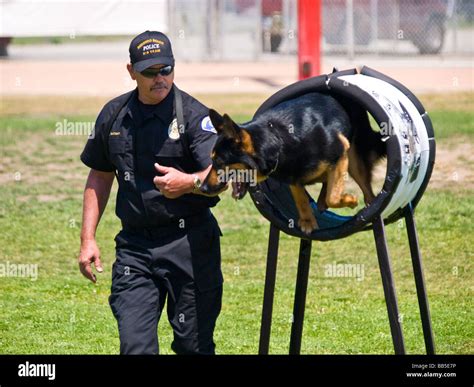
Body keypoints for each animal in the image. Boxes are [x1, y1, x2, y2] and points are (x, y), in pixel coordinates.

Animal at [200, 92, 386, 235]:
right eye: (212, 160)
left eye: (219, 161)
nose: (203, 188)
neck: (277, 143)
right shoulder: (293, 176)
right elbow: (301, 199)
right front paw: (307, 222)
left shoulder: (340, 152)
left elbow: (333, 197)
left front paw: (350, 200)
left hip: (354, 159)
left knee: (367, 192)